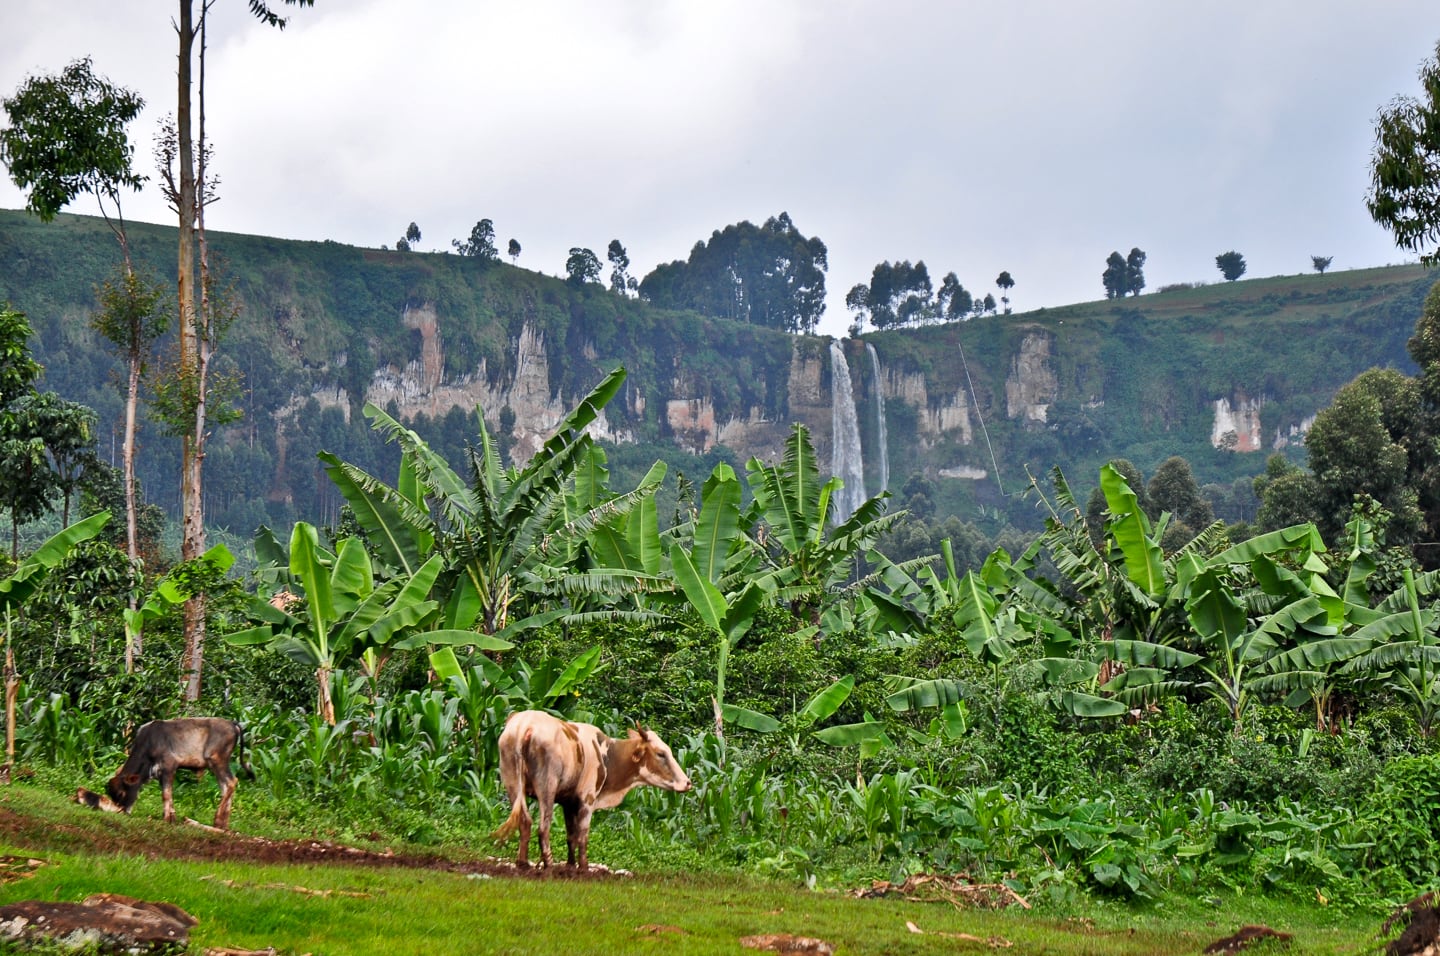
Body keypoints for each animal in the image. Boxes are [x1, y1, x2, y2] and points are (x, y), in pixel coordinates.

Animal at [75, 717, 253, 829]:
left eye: (121, 792)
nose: (123, 812)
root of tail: (232, 723)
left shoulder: (169, 767)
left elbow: (166, 794)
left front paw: (167, 818)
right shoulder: (160, 774)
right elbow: (167, 795)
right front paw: (171, 816)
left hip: (216, 760)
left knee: (232, 782)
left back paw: (217, 820)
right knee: (226, 787)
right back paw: (222, 824)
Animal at [489, 708, 691, 875]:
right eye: (660, 753)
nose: (687, 783)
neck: (607, 755)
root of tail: (526, 724)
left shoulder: (568, 802)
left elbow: (571, 835)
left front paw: (570, 866)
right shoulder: (587, 799)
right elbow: (582, 835)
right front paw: (583, 868)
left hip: (513, 785)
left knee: (525, 821)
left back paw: (523, 864)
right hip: (547, 787)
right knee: (542, 828)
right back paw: (548, 866)